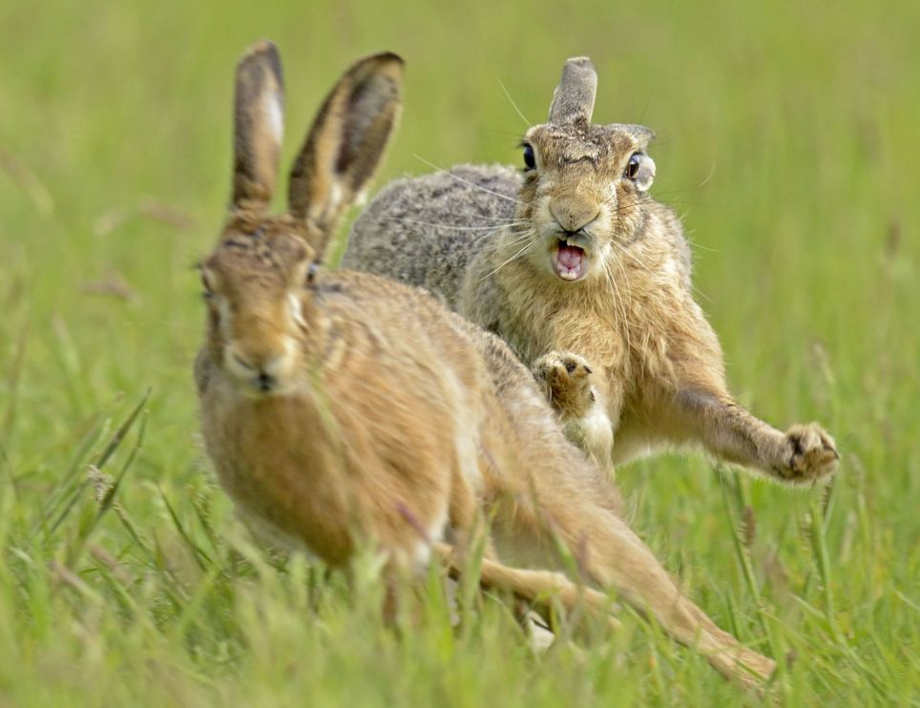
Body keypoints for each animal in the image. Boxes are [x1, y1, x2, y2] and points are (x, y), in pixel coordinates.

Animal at [342, 57, 839, 485]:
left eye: (633, 167)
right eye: (529, 156)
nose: (573, 214)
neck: (598, 284)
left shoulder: (676, 375)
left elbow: (724, 418)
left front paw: (807, 452)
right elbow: (583, 428)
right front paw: (566, 383)